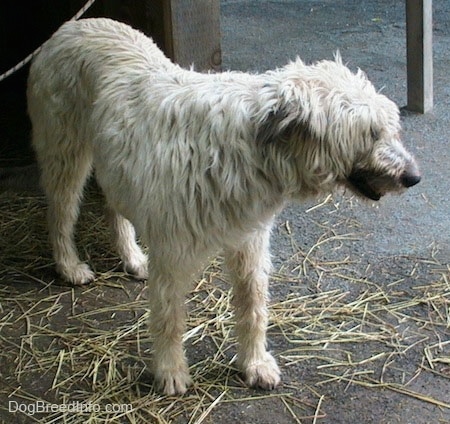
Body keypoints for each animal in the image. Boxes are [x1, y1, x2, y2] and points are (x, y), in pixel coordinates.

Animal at [28, 16, 420, 394]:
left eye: (388, 128)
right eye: (370, 133)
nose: (414, 177)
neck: (246, 149)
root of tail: (70, 27)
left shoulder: (250, 242)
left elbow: (253, 305)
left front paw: (255, 363)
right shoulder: (172, 253)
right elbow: (169, 317)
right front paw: (170, 370)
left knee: (113, 205)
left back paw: (132, 256)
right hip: (65, 154)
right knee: (60, 212)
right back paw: (69, 265)